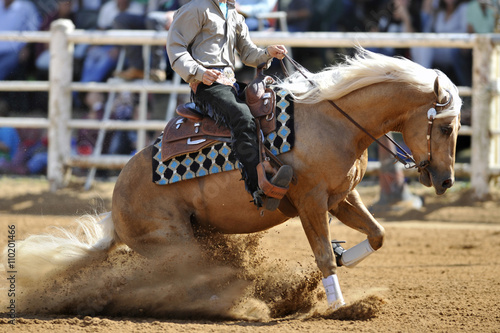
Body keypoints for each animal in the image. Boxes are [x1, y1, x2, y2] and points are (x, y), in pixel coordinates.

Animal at [14, 47, 460, 312]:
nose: (445, 182)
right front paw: (338, 303)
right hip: (175, 245)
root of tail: (116, 210)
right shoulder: (311, 201)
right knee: (197, 278)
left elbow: (377, 234)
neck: (334, 122)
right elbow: (319, 253)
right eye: (444, 127)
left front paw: (341, 256)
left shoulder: (341, 197)